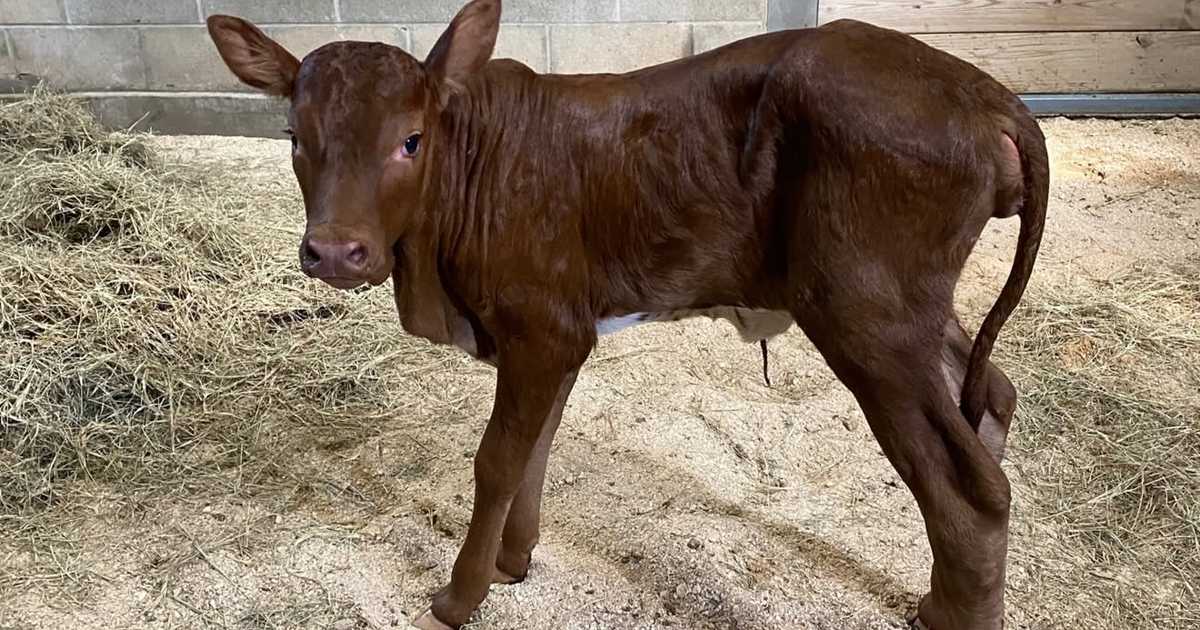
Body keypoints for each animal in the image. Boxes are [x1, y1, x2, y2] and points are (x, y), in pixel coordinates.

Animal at [207, 1, 1048, 628]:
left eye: (411, 140)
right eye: (294, 137)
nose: (335, 252)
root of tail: (984, 92)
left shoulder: (542, 325)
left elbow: (497, 459)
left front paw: (459, 596)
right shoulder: (560, 332)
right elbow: (537, 446)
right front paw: (514, 562)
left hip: (866, 314)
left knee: (967, 485)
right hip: (911, 310)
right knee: (992, 396)